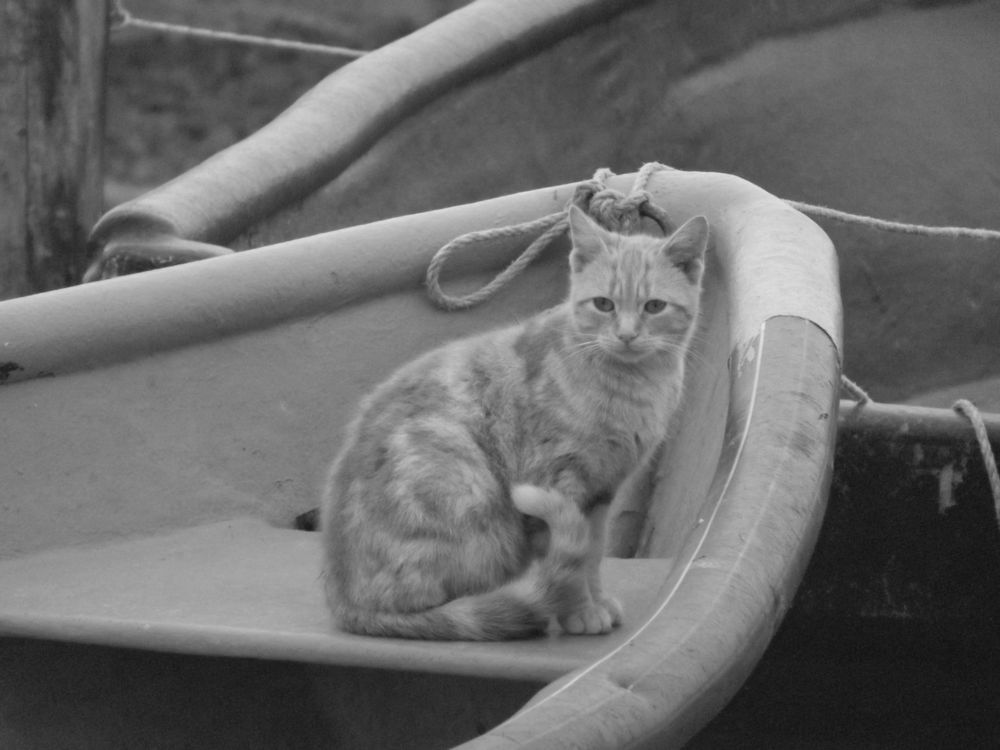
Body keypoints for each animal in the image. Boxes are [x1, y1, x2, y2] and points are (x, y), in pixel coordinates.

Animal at [318, 204, 704, 640]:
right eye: (604, 304)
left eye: (654, 307)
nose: (626, 336)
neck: (632, 388)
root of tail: (345, 602)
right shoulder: (557, 481)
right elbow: (571, 566)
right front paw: (578, 612)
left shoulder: (601, 494)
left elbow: (591, 555)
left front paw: (597, 601)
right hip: (464, 489)